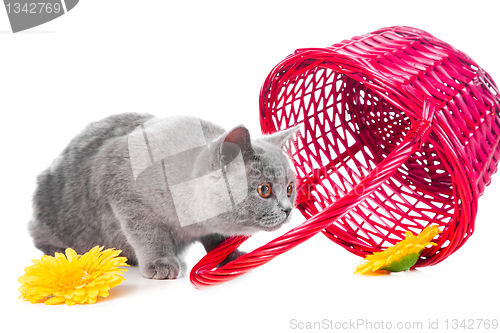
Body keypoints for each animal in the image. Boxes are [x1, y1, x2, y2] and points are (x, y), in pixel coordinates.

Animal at [29, 113, 298, 278]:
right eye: (264, 189)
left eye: (289, 188)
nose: (287, 209)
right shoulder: (126, 196)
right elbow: (148, 234)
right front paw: (160, 262)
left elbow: (217, 236)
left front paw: (229, 256)